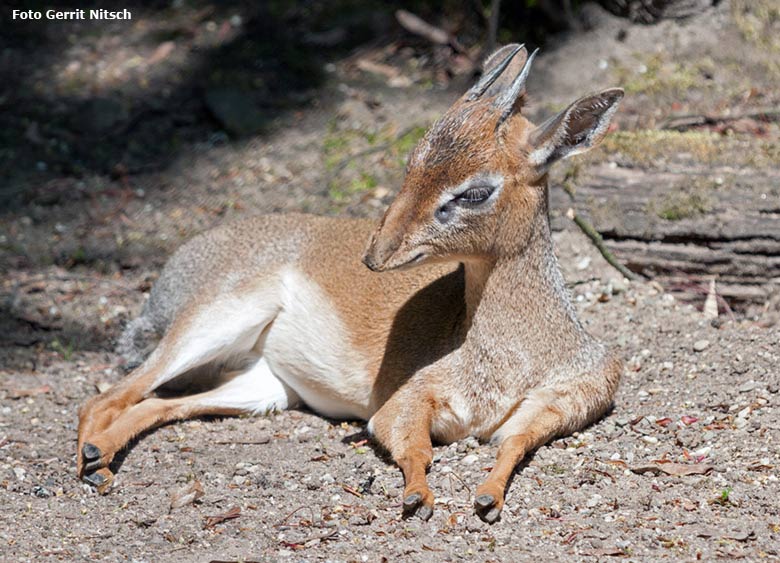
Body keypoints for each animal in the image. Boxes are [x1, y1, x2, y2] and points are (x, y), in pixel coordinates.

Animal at [77, 44, 620, 524]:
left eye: (475, 191)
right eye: (412, 161)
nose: (376, 254)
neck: (511, 358)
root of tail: (179, 265)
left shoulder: (561, 404)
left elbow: (513, 444)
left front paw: (487, 498)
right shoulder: (399, 404)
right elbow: (416, 448)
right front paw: (418, 497)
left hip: (264, 388)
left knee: (154, 402)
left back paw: (98, 462)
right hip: (214, 321)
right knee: (105, 396)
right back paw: (92, 465)